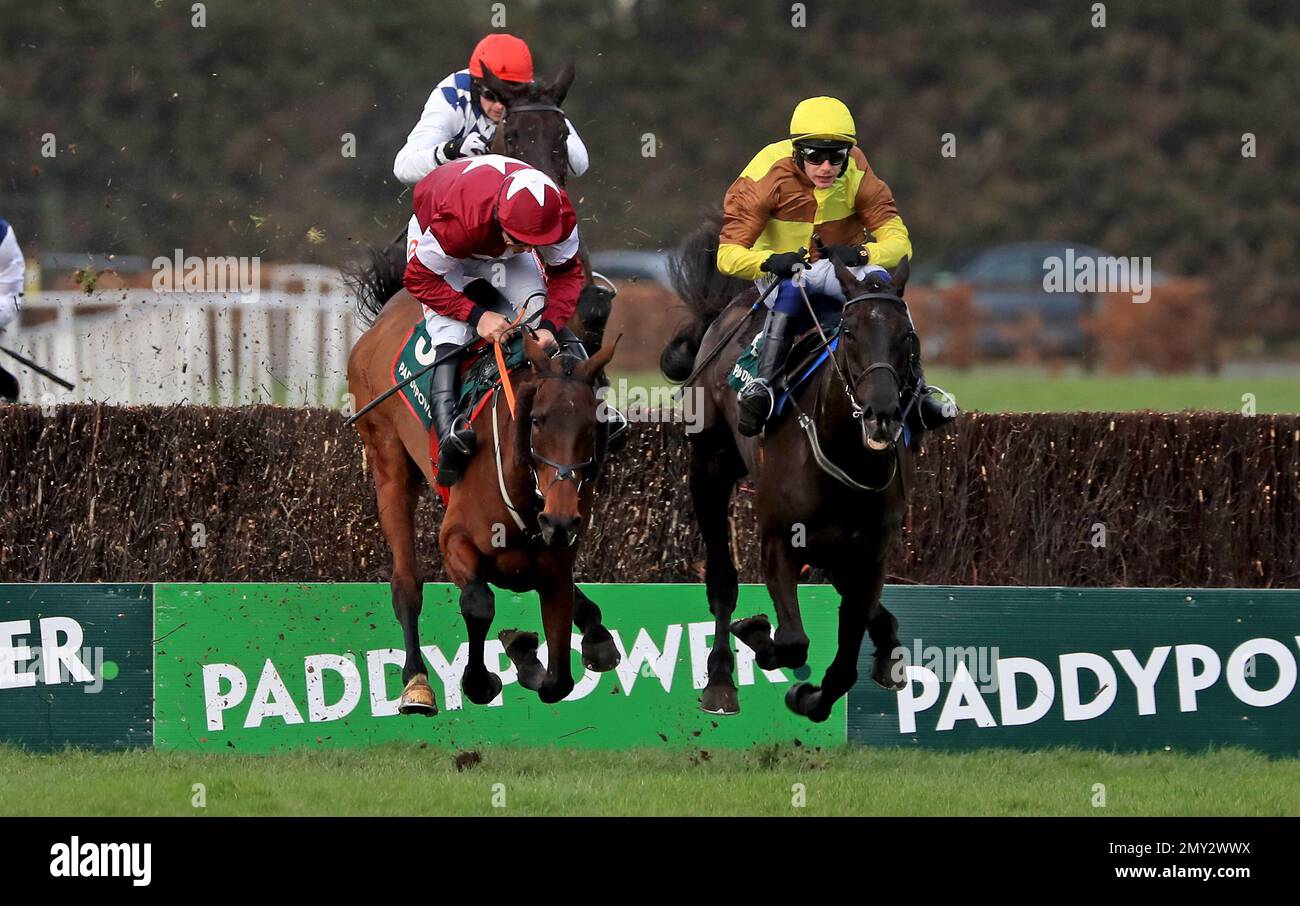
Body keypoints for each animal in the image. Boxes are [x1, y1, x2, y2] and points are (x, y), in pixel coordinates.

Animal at [660, 211, 915, 722]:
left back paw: (887, 646)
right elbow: (793, 640)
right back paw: (720, 681)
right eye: (850, 333)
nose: (881, 413)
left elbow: (845, 663)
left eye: (907, 337)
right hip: (709, 467)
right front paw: (759, 636)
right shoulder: (779, 537)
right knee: (722, 580)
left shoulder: (872, 551)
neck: (842, 456)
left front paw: (812, 695)